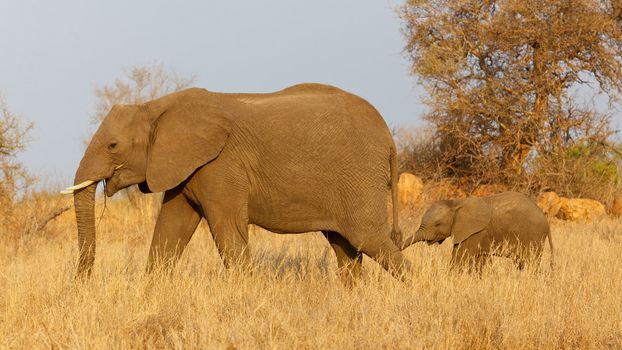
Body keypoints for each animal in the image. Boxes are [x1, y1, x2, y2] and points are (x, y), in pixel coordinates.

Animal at [63, 83, 412, 280]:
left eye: (113, 146)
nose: (82, 283)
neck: (156, 106)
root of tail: (388, 137)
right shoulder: (185, 167)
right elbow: (170, 230)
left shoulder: (220, 164)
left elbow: (228, 232)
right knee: (346, 249)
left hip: (360, 176)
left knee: (369, 238)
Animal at [404, 191, 556, 270]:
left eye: (438, 224)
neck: (457, 203)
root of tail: (546, 220)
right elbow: (479, 260)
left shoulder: (474, 232)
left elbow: (459, 258)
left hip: (533, 236)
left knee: (530, 263)